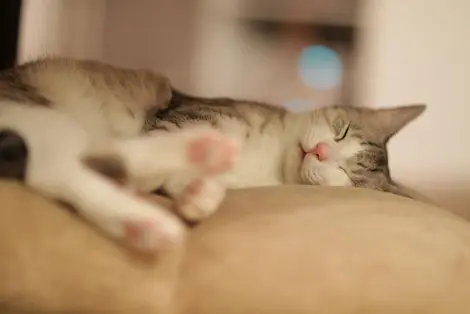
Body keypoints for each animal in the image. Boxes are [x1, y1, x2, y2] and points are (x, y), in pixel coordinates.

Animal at [0, 57, 426, 253]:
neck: (269, 158)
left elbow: (194, 181)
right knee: (55, 167)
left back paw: (142, 217)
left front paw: (198, 193)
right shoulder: (183, 116)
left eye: (347, 175)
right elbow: (170, 138)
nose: (320, 150)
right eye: (342, 131)